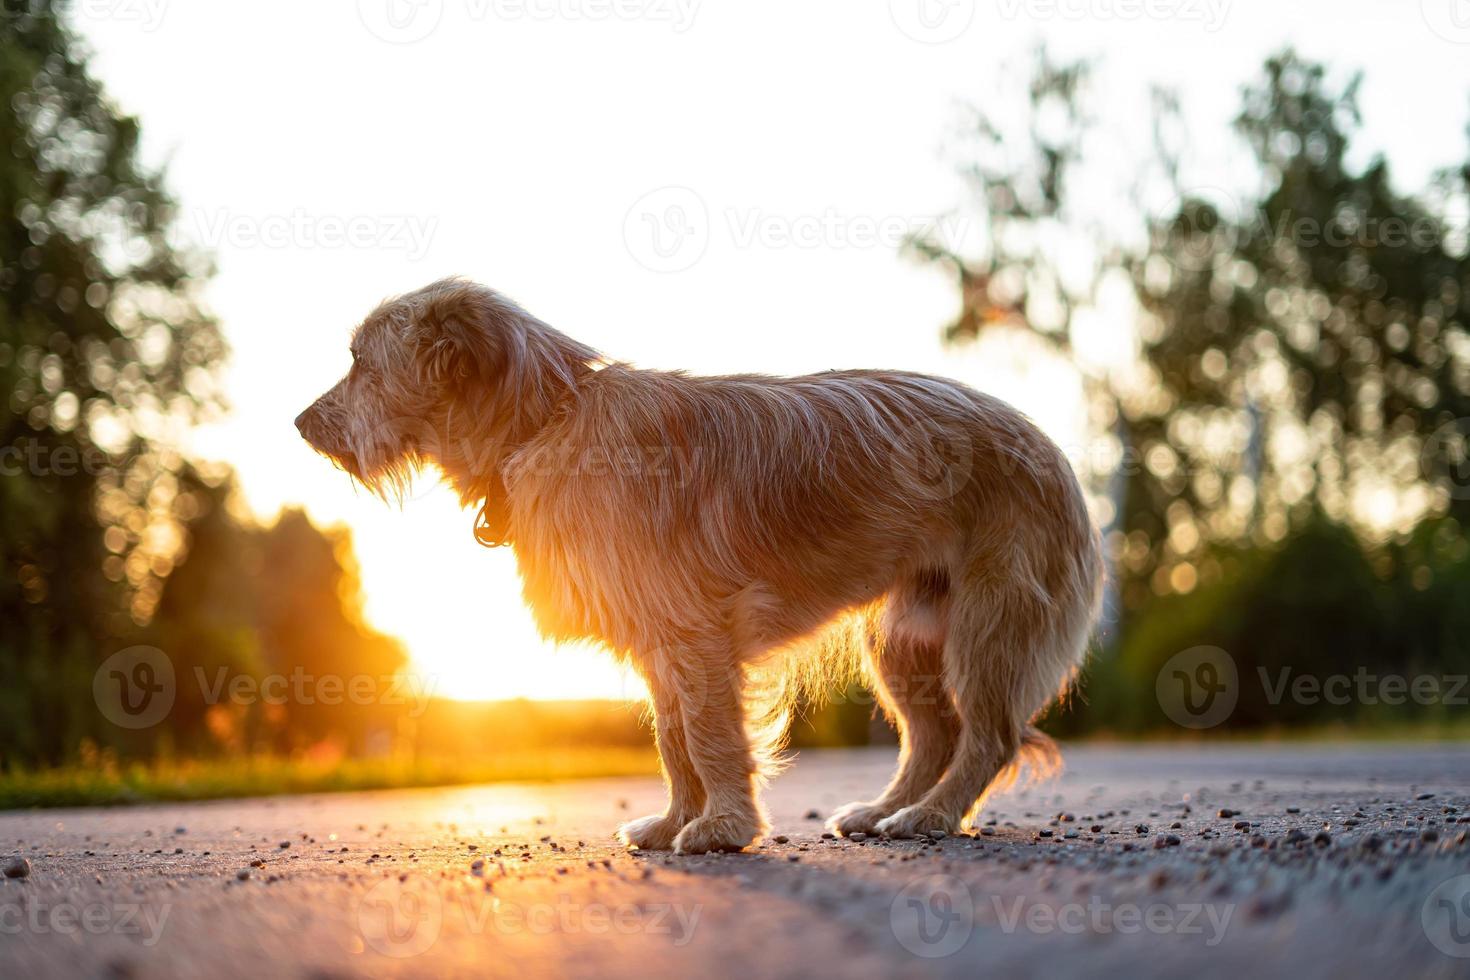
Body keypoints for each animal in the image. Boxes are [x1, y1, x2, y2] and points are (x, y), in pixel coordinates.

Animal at [295, 276, 1105, 852]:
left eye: (361, 363)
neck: (547, 421)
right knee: (932, 735)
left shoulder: (696, 635)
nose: (300, 424)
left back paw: (930, 817)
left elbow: (711, 739)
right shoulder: (662, 646)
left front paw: (723, 829)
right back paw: (887, 808)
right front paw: (672, 821)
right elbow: (672, 739)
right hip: (902, 638)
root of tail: (1057, 454)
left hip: (984, 625)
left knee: (987, 739)